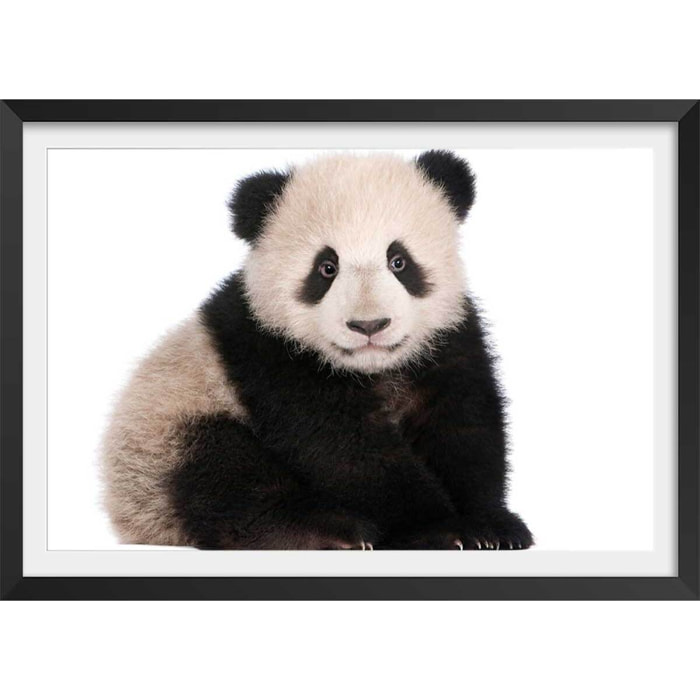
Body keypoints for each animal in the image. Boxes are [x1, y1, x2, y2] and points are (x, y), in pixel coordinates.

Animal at [101, 150, 533, 550]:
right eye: (326, 268)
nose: (369, 326)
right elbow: (343, 446)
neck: (373, 367)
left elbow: (463, 423)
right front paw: (441, 528)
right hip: (166, 433)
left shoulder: (446, 341)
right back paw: (327, 531)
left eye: (399, 261)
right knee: (225, 476)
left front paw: (492, 525)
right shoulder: (270, 353)